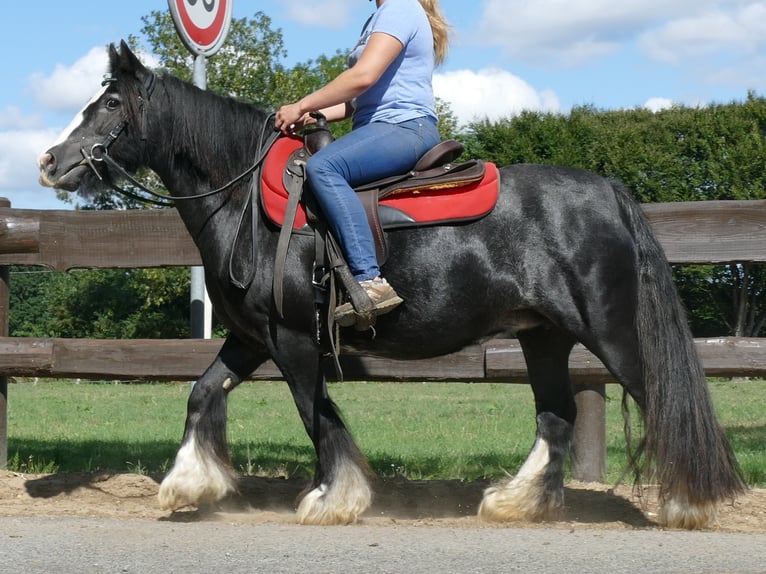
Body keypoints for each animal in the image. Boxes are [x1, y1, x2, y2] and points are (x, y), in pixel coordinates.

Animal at [37, 44, 744, 532]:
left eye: (109, 105)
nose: (49, 161)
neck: (245, 203)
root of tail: (609, 191)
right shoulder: (251, 336)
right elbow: (202, 393)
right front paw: (189, 484)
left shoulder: (293, 340)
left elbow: (316, 414)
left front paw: (333, 498)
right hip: (543, 337)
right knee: (556, 415)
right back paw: (516, 502)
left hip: (609, 333)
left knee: (662, 400)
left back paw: (689, 502)